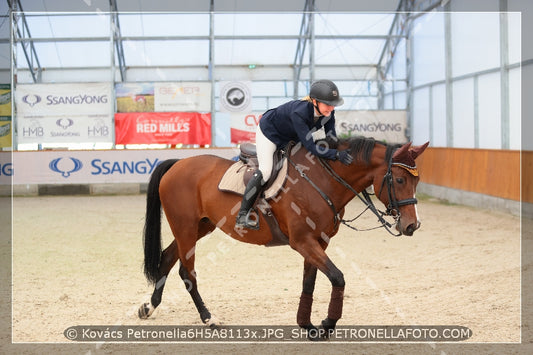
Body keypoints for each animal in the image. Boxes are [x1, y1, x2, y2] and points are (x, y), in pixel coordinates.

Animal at [136, 136, 428, 340]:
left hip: (199, 226)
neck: (321, 180)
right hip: (185, 227)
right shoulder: (303, 242)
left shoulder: (318, 242)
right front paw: (327, 324)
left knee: (167, 259)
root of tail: (178, 163)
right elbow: (337, 277)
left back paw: (149, 307)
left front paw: (307, 325)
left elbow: (309, 282)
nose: (412, 225)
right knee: (187, 271)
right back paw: (208, 317)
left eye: (417, 180)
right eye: (399, 180)